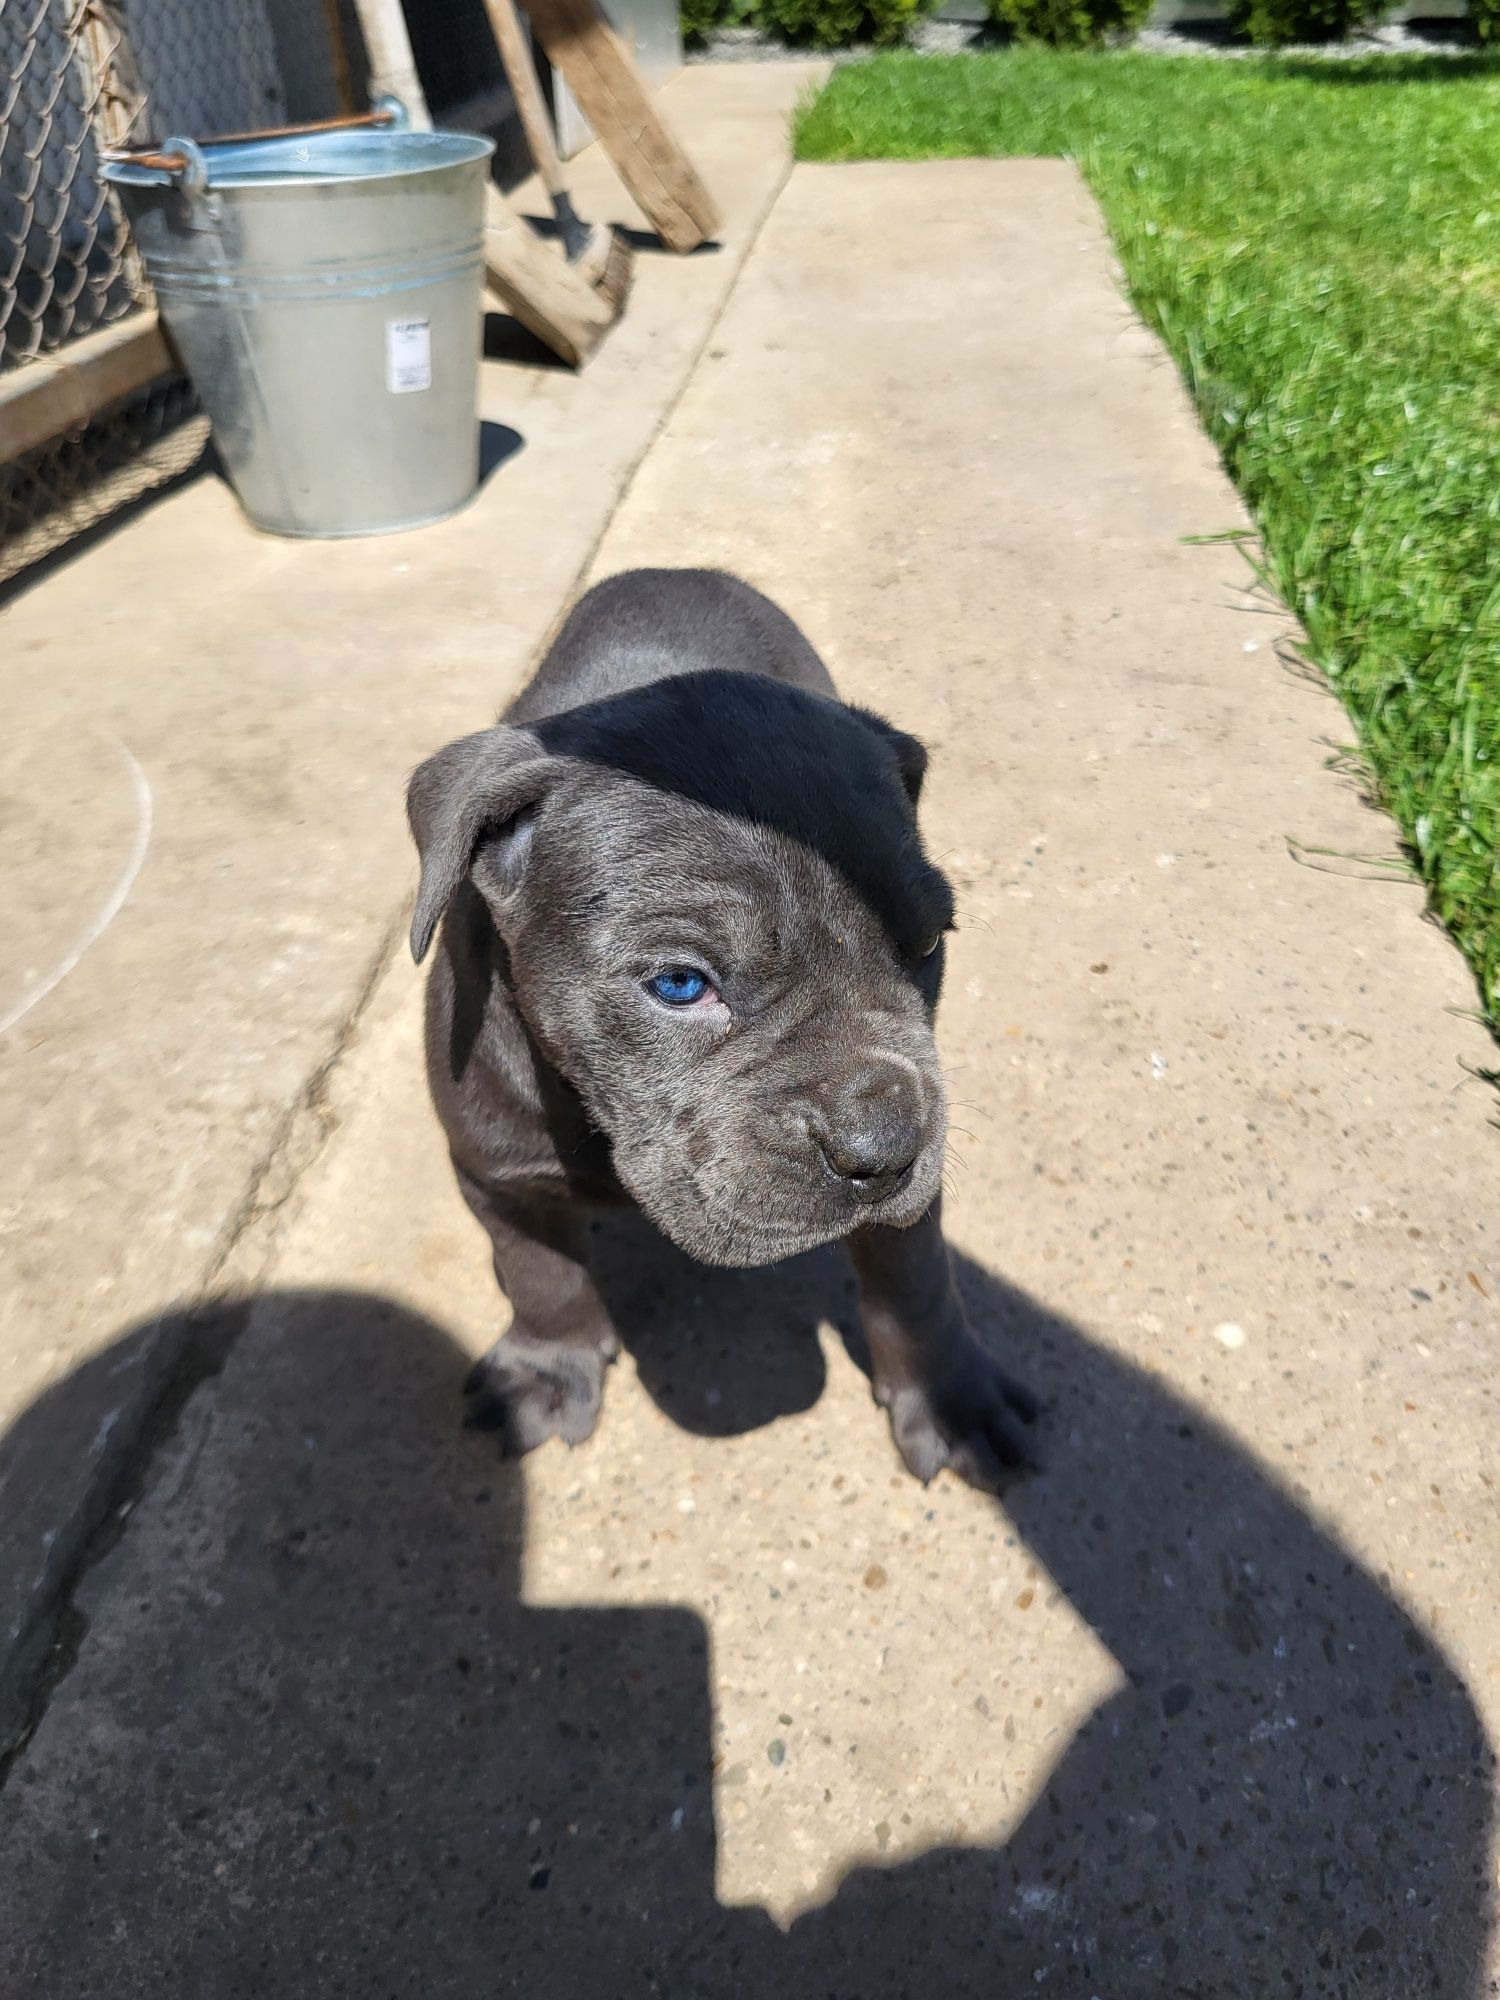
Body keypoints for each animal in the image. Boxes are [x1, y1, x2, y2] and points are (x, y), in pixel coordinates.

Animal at [406, 564, 1040, 1488]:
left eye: (927, 945)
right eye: (680, 984)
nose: (884, 1149)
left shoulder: (912, 1204)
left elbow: (916, 1284)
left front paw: (951, 1398)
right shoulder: (495, 1168)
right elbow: (538, 1274)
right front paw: (546, 1370)